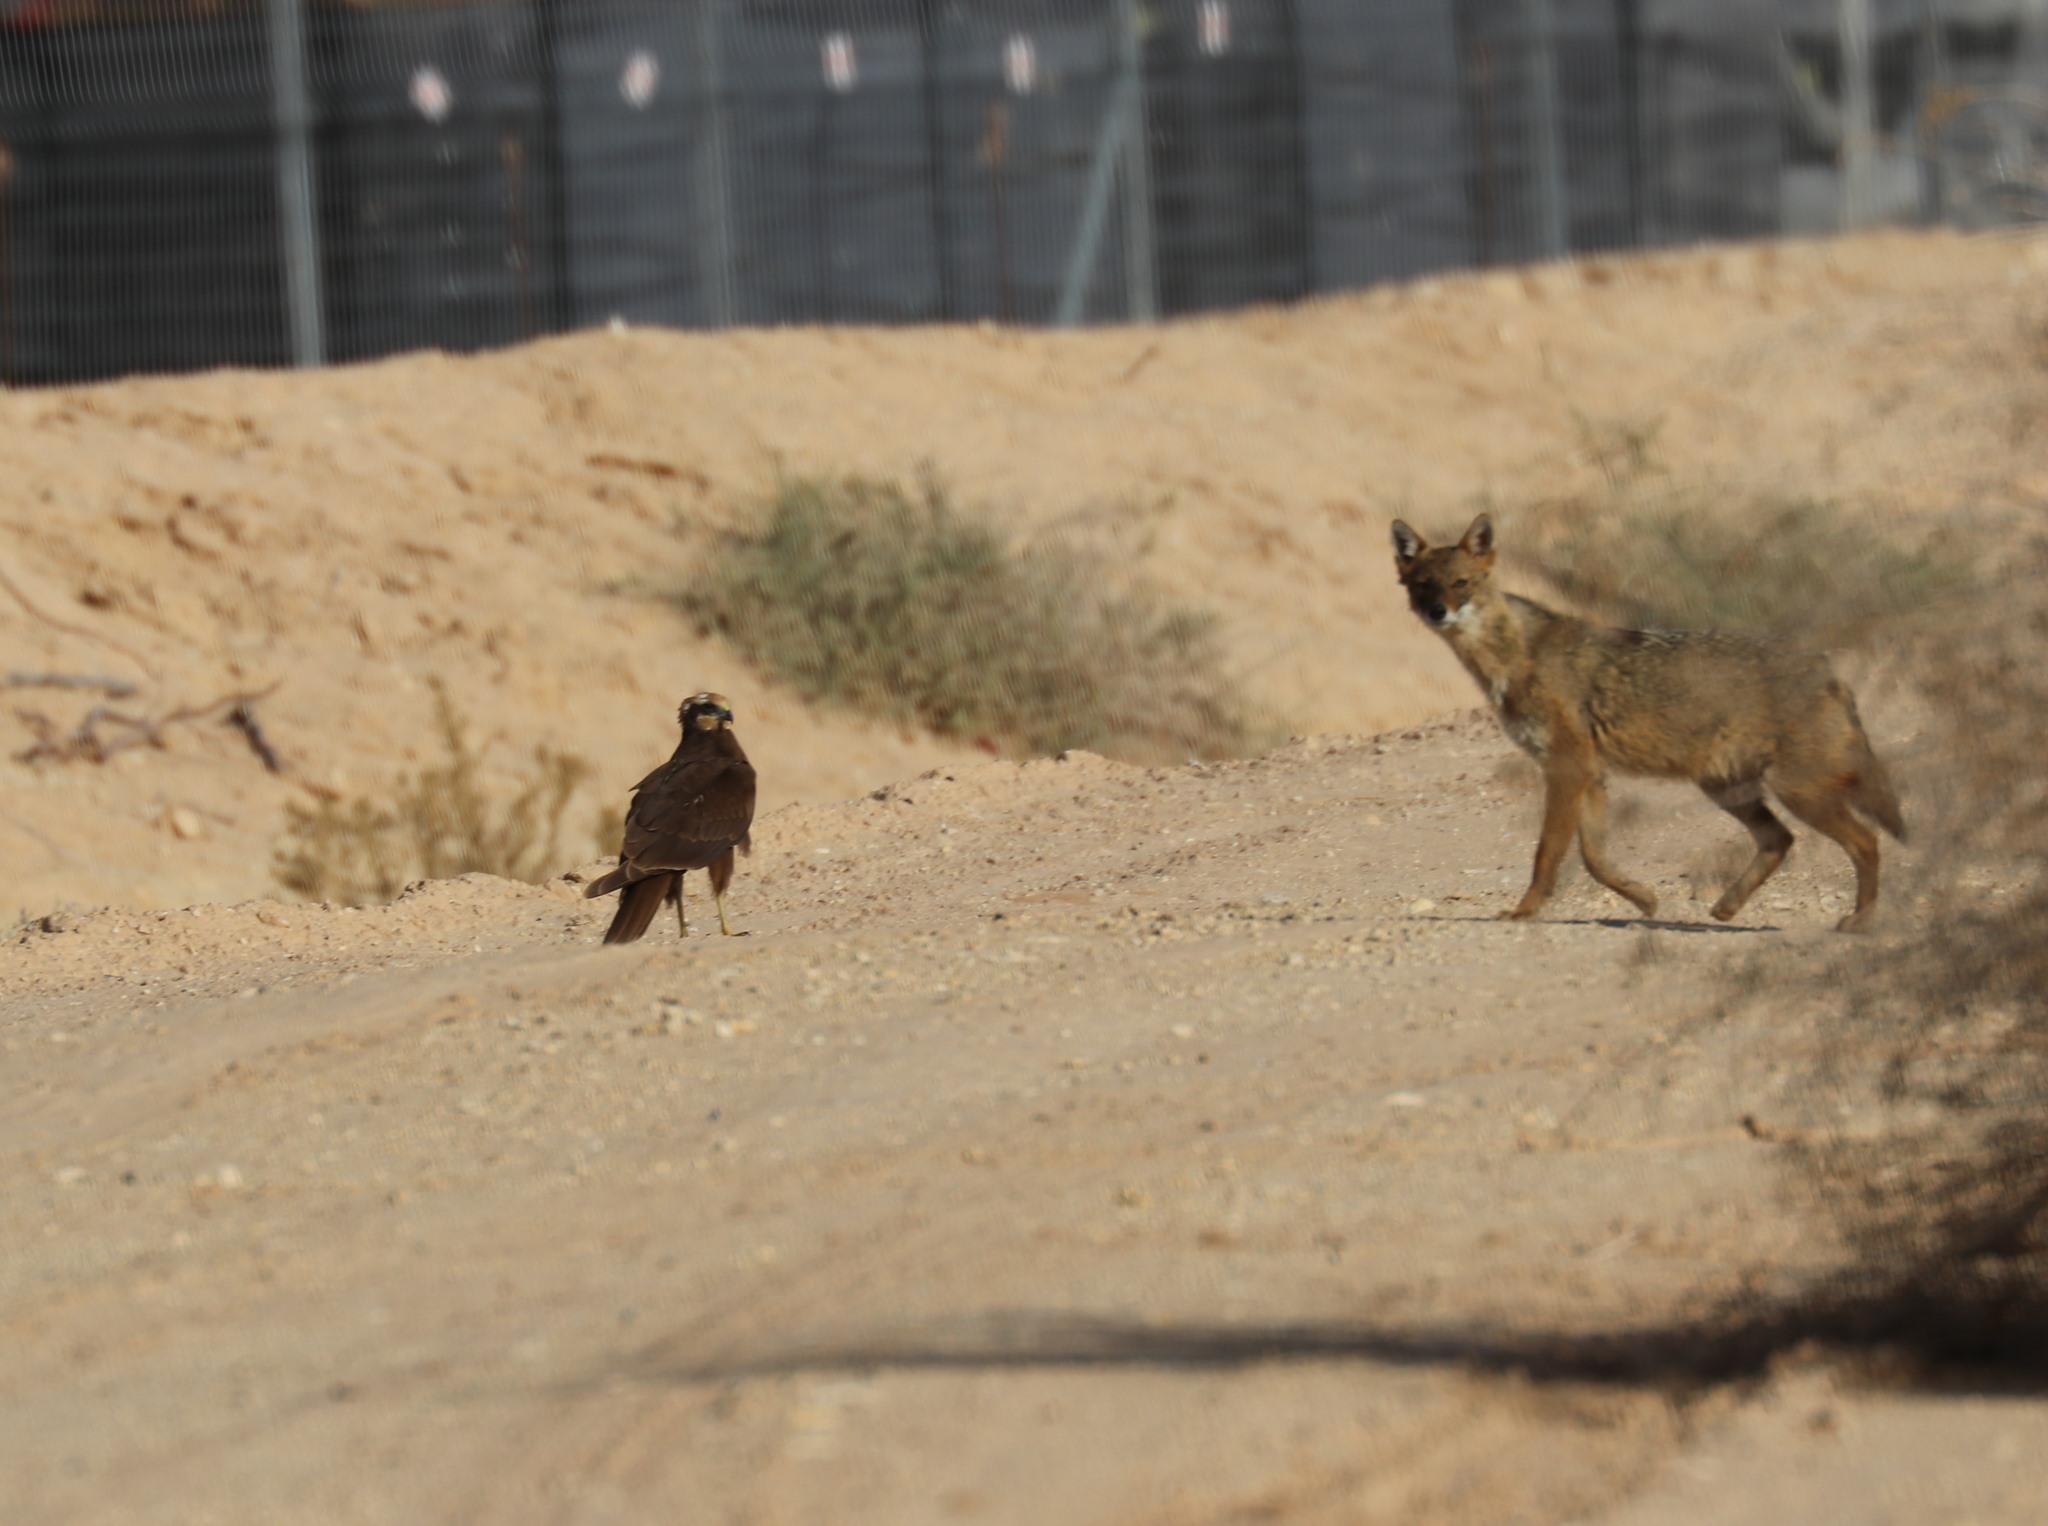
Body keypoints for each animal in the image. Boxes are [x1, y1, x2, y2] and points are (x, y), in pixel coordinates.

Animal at [1390, 513, 1905, 931]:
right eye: (1423, 586)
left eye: (1461, 583)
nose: (1438, 612)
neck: (1514, 657)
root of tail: (1828, 670)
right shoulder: (1590, 774)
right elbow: (1594, 858)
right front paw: (1644, 900)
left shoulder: (1567, 768)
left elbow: (1547, 853)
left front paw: (1525, 912)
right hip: (1728, 789)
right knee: (1781, 839)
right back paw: (1726, 908)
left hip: (1796, 791)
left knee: (1866, 841)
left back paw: (1859, 920)